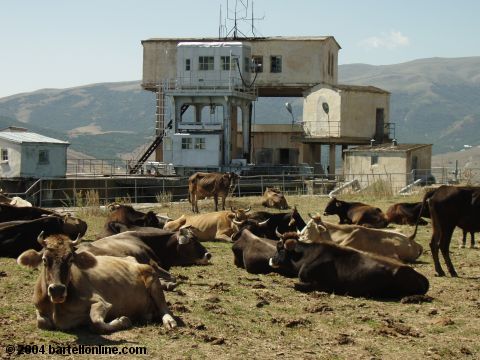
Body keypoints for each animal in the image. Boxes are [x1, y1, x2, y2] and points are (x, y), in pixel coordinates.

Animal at [16, 232, 179, 334]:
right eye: (44, 259)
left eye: (71, 260)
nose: (57, 290)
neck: (57, 308)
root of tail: (133, 260)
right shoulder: (38, 307)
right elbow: (42, 322)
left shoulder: (100, 302)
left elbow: (96, 322)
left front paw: (123, 320)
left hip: (152, 277)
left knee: (164, 307)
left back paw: (169, 321)